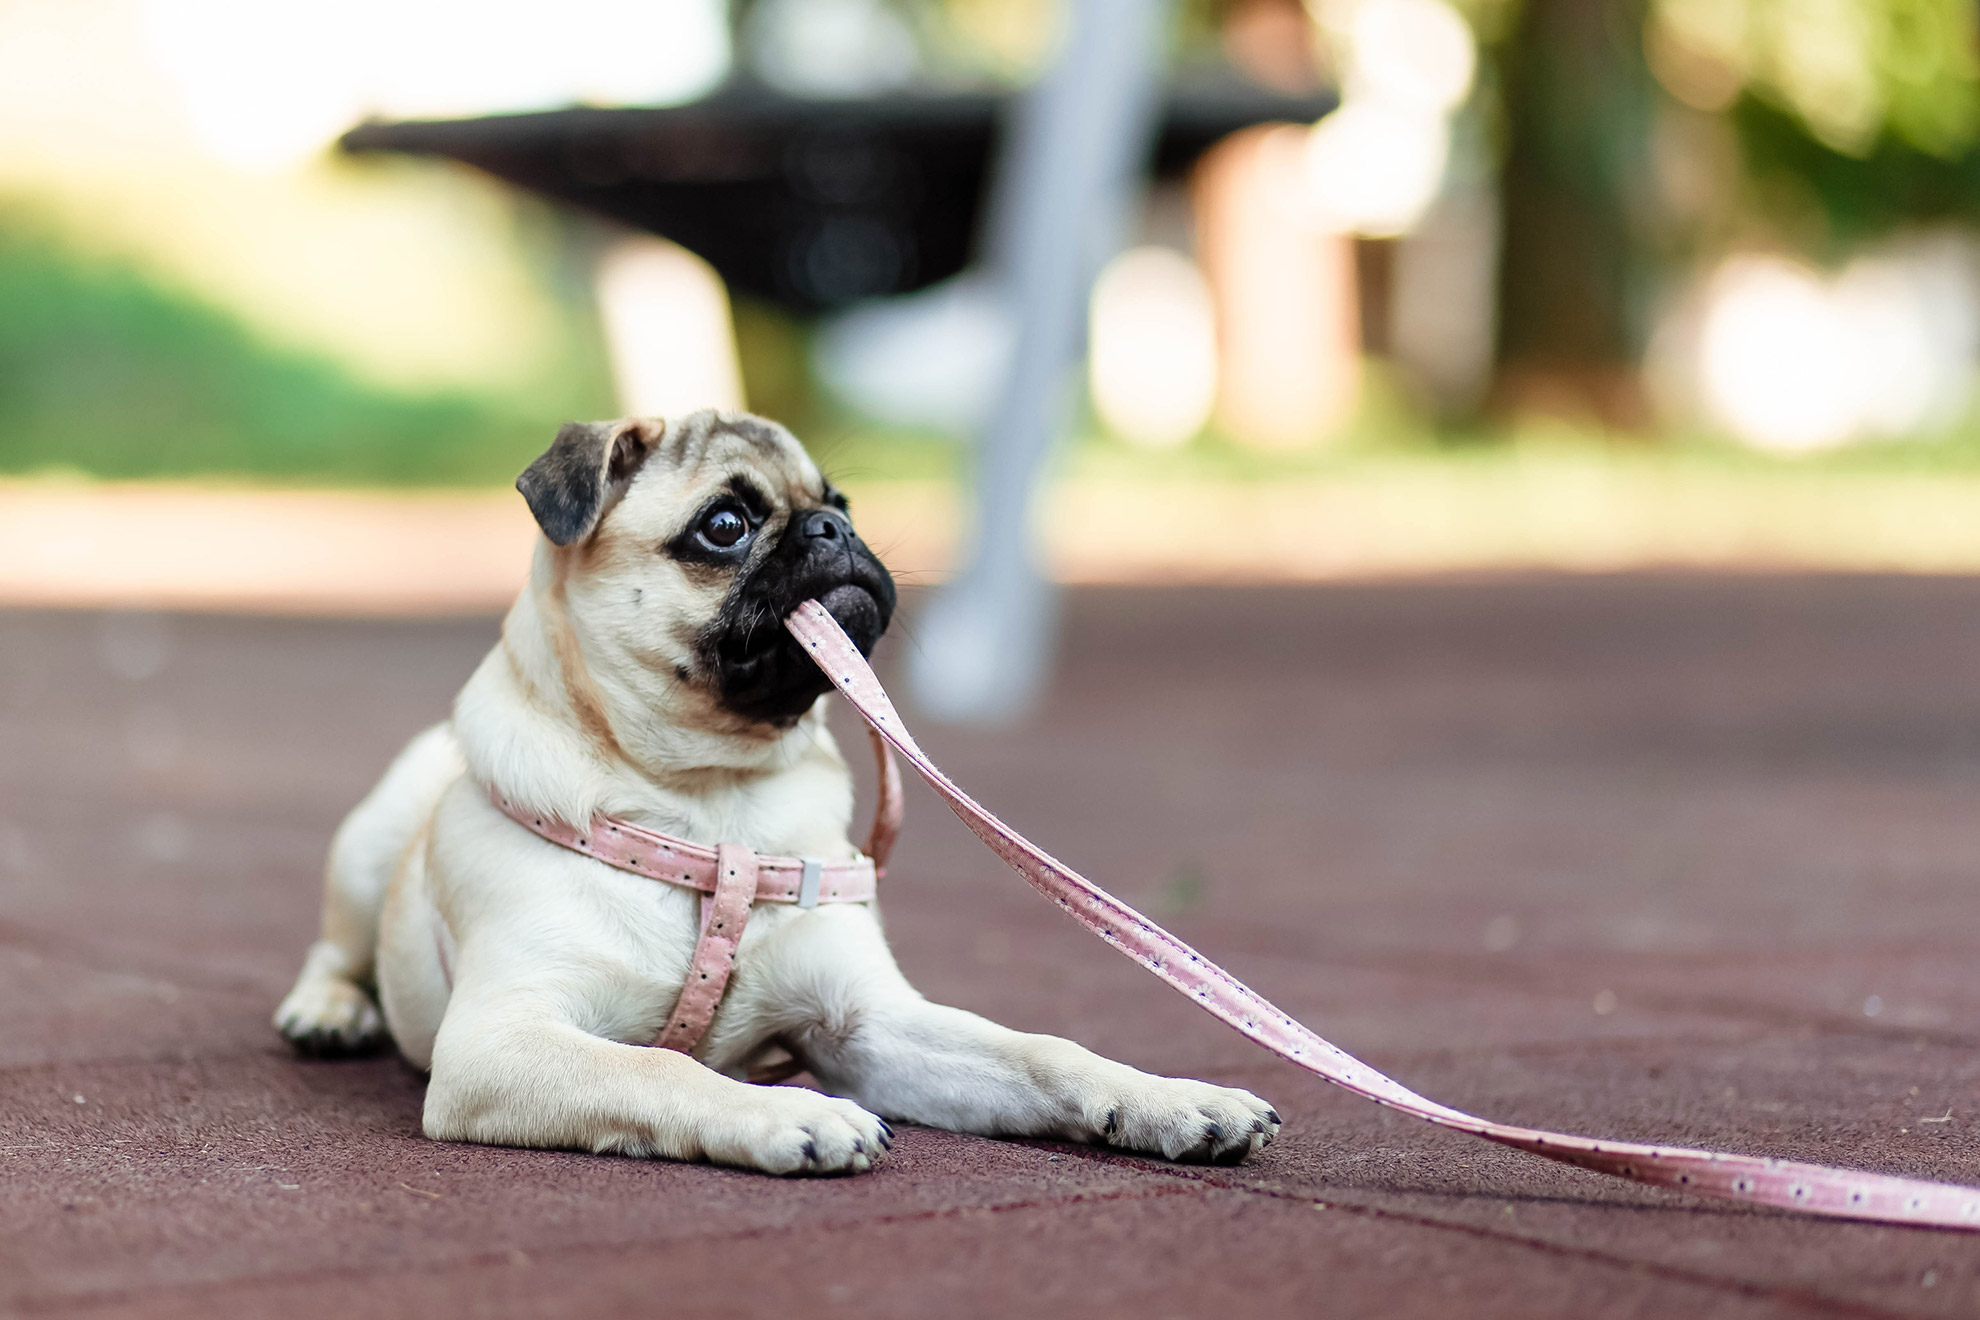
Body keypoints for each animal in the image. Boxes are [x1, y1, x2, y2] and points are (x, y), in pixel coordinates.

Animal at [271, 413, 1275, 1179]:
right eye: (725, 525)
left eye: (842, 503)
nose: (832, 531)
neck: (716, 801)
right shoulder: (499, 1042)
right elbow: (662, 1074)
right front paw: (797, 1114)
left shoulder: (870, 1026)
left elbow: (1042, 1051)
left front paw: (1171, 1100)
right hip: (370, 849)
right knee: (334, 948)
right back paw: (329, 1012)